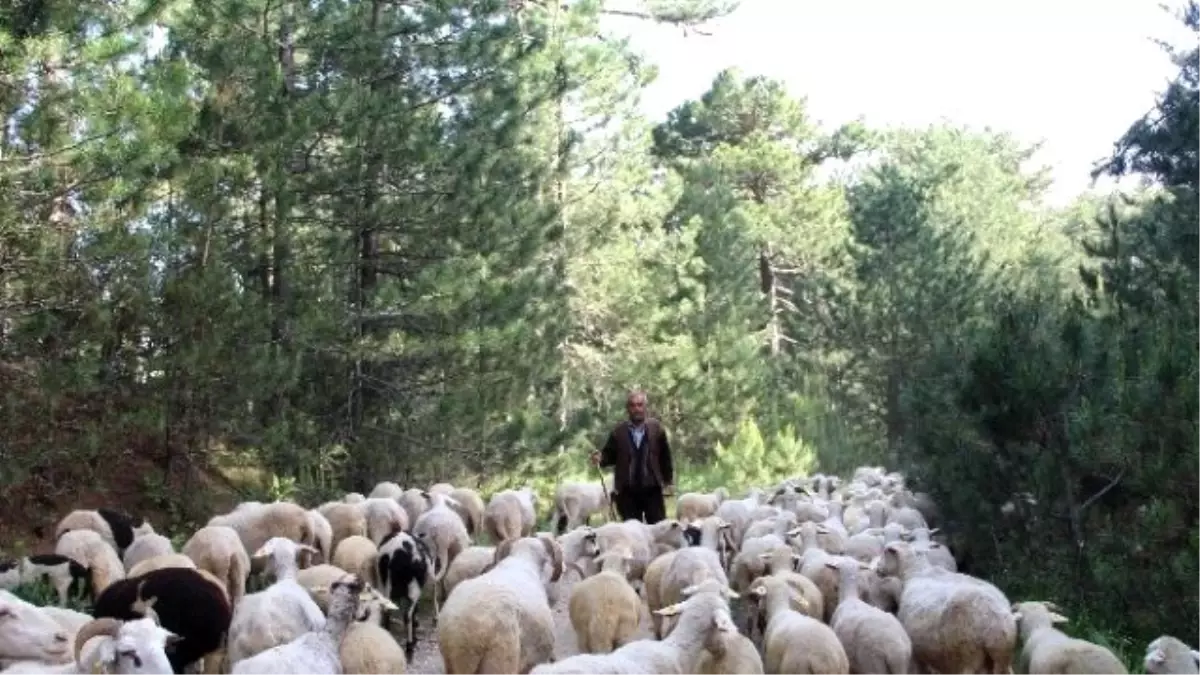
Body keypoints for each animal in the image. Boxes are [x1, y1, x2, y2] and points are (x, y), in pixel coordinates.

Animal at [878, 538, 1017, 672]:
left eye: (885, 552)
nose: (878, 568)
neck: (915, 572)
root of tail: (995, 625)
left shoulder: (919, 653)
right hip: (1000, 658)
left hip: (968, 653)